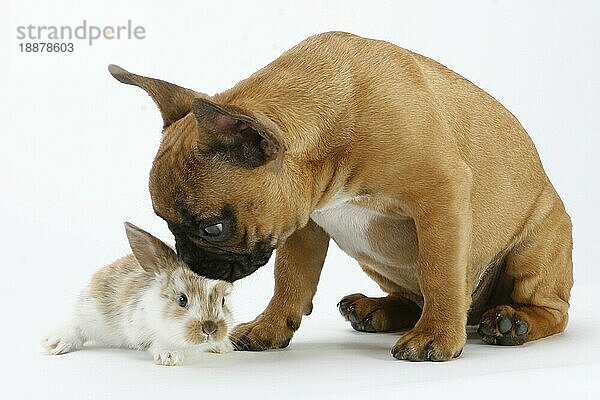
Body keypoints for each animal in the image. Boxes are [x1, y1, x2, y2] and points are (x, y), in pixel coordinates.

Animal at [41, 222, 234, 366]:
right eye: (182, 300)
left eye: (223, 301)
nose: (210, 329)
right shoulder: (140, 328)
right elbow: (156, 342)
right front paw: (170, 356)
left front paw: (224, 347)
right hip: (91, 313)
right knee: (77, 326)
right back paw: (54, 343)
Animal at [108, 32, 572, 362]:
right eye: (164, 222)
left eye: (213, 228)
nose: (189, 261)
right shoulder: (299, 221)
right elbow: (291, 277)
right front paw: (271, 326)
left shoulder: (441, 198)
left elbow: (441, 273)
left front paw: (436, 334)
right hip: (378, 264)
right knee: (411, 295)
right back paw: (377, 309)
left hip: (535, 248)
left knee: (553, 311)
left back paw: (512, 322)